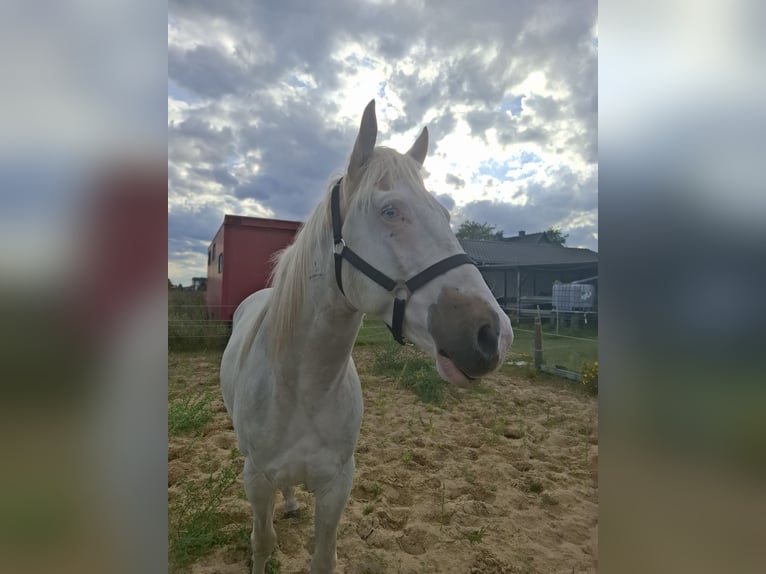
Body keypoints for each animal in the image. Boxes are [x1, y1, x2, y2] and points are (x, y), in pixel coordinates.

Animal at [220, 100, 514, 573]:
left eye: (445, 215)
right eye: (389, 211)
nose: (494, 335)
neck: (302, 390)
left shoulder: (338, 485)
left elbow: (323, 558)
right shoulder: (256, 480)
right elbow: (262, 544)